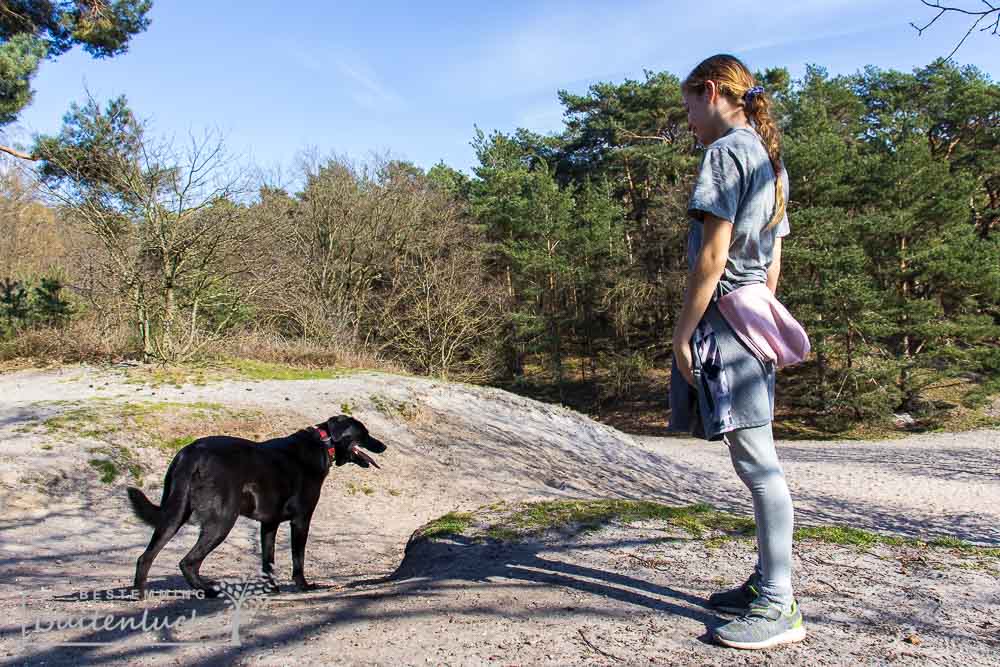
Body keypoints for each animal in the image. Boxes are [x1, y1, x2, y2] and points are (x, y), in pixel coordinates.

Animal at [127, 414, 384, 596]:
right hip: (222, 521)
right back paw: (208, 590)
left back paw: (140, 594)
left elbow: (267, 560)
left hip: (174, 515)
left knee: (145, 557)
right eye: (365, 433)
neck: (323, 443)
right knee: (187, 562)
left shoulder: (269, 524)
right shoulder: (301, 520)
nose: (384, 446)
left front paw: (272, 589)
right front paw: (303, 585)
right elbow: (298, 558)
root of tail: (192, 454)